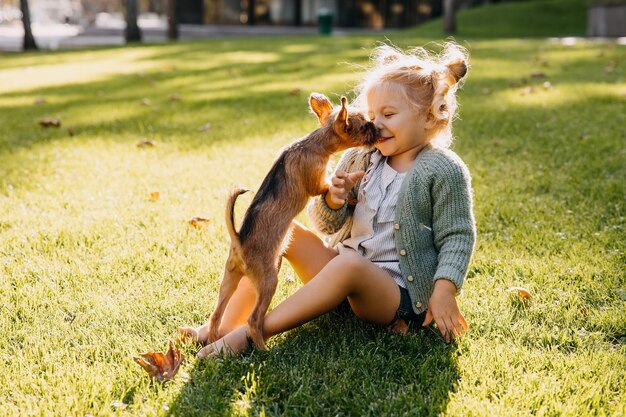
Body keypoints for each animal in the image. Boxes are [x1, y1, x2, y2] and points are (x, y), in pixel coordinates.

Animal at [208, 93, 376, 348]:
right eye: (366, 126)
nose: (378, 129)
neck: (314, 143)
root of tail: (239, 240)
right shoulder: (318, 186)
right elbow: (331, 188)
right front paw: (351, 196)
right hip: (269, 282)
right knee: (253, 320)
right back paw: (262, 349)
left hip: (229, 281)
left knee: (216, 315)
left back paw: (211, 340)